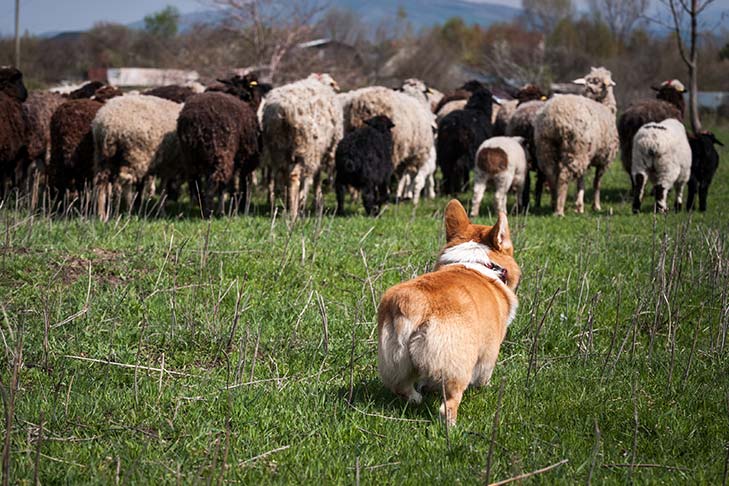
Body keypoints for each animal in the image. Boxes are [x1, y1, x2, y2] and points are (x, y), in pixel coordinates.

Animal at [177, 75, 270, 217]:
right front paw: (241, 207)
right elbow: (243, 183)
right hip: (221, 151)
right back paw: (209, 212)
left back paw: (202, 207)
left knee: (196, 183)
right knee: (215, 181)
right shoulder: (247, 158)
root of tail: (194, 121)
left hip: (190, 156)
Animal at [534, 67, 618, 216]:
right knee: (563, 175)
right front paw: (596, 206)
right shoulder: (604, 158)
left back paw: (554, 203)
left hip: (546, 147)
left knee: (551, 174)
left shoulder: (587, 153)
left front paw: (579, 206)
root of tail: (554, 116)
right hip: (574, 148)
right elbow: (597, 183)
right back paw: (559, 210)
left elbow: (581, 180)